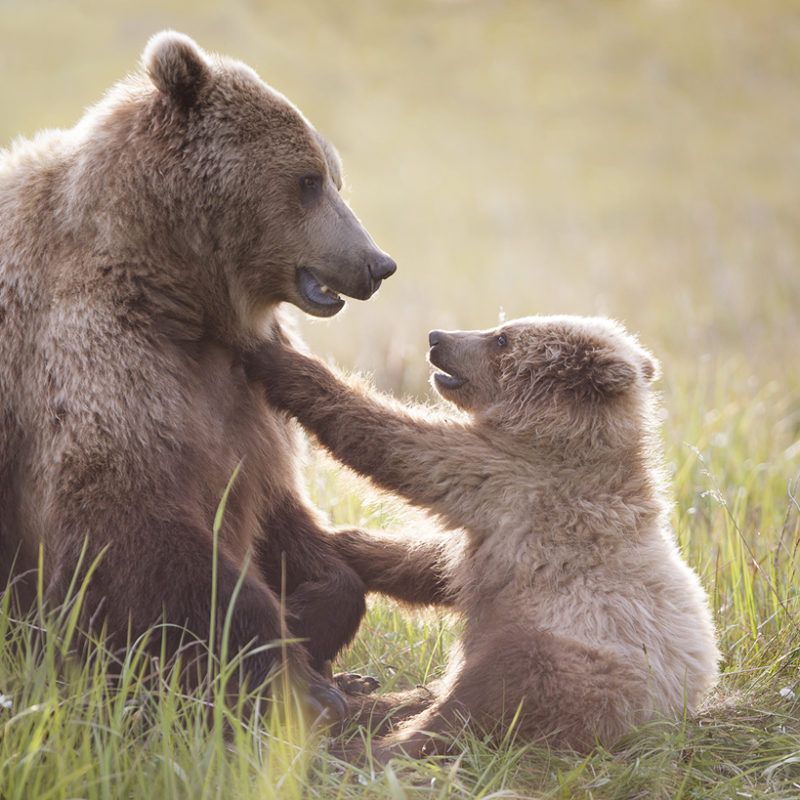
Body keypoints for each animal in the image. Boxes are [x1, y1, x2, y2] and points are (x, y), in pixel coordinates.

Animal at [0, 32, 396, 720]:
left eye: (333, 176)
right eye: (309, 180)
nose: (376, 263)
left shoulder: (239, 388)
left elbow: (274, 505)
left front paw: (315, 623)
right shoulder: (100, 357)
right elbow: (135, 523)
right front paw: (298, 682)